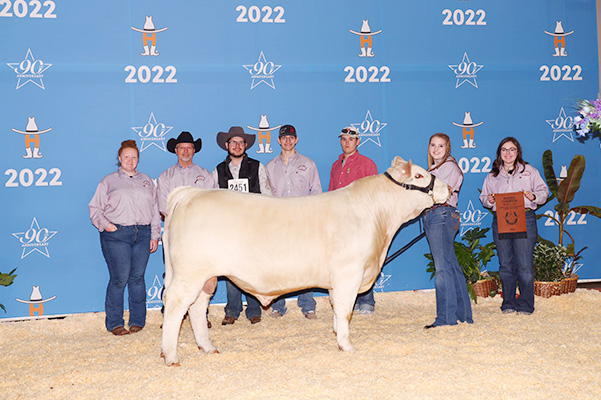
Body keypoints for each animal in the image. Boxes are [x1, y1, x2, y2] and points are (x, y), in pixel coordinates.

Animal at [162, 156, 448, 366]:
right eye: (419, 176)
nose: (447, 188)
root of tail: (190, 193)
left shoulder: (337, 281)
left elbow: (337, 309)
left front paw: (336, 334)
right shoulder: (349, 273)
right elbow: (345, 310)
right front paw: (347, 345)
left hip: (205, 278)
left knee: (196, 308)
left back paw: (208, 347)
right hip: (190, 274)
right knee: (176, 307)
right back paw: (171, 356)